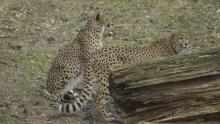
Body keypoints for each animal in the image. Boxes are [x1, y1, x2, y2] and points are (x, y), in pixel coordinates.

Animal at [59, 31, 190, 121]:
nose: (187, 43)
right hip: (106, 79)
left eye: (187, 37)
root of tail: (94, 53)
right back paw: (106, 118)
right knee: (99, 100)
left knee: (94, 96)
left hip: (96, 79)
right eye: (180, 37)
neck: (171, 44)